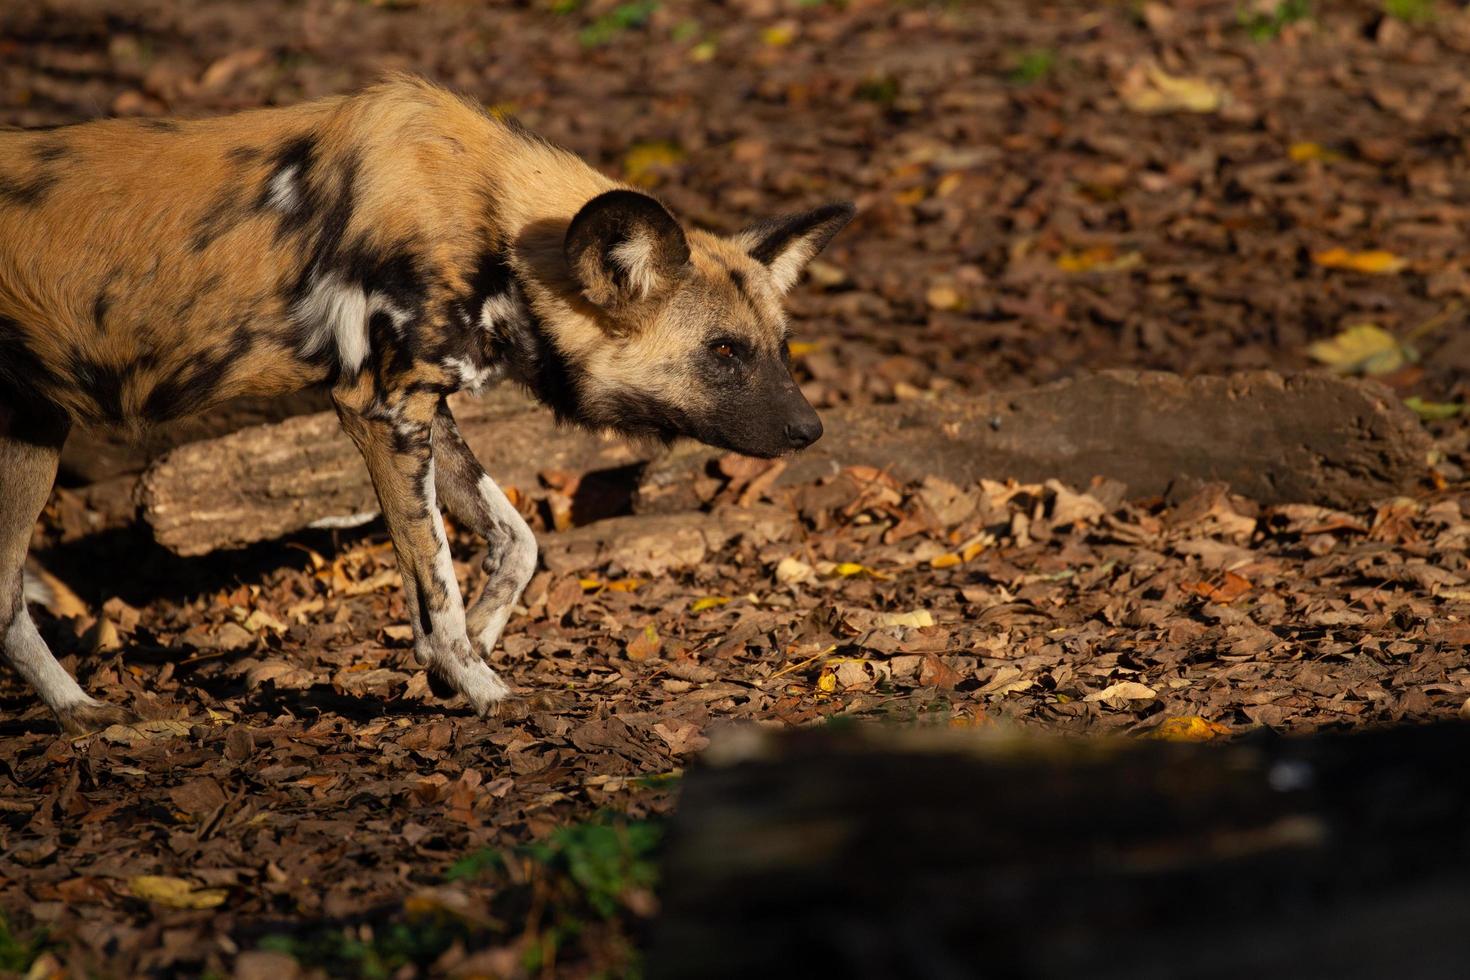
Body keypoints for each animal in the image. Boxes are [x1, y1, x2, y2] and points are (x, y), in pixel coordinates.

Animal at [0, 76, 858, 734]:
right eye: (723, 353)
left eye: (779, 346)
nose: (811, 429)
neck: (498, 231)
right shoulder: (381, 412)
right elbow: (435, 583)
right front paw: (481, 686)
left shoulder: (426, 411)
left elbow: (517, 541)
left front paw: (471, 651)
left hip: (32, 433)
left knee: (6, 601)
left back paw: (77, 712)